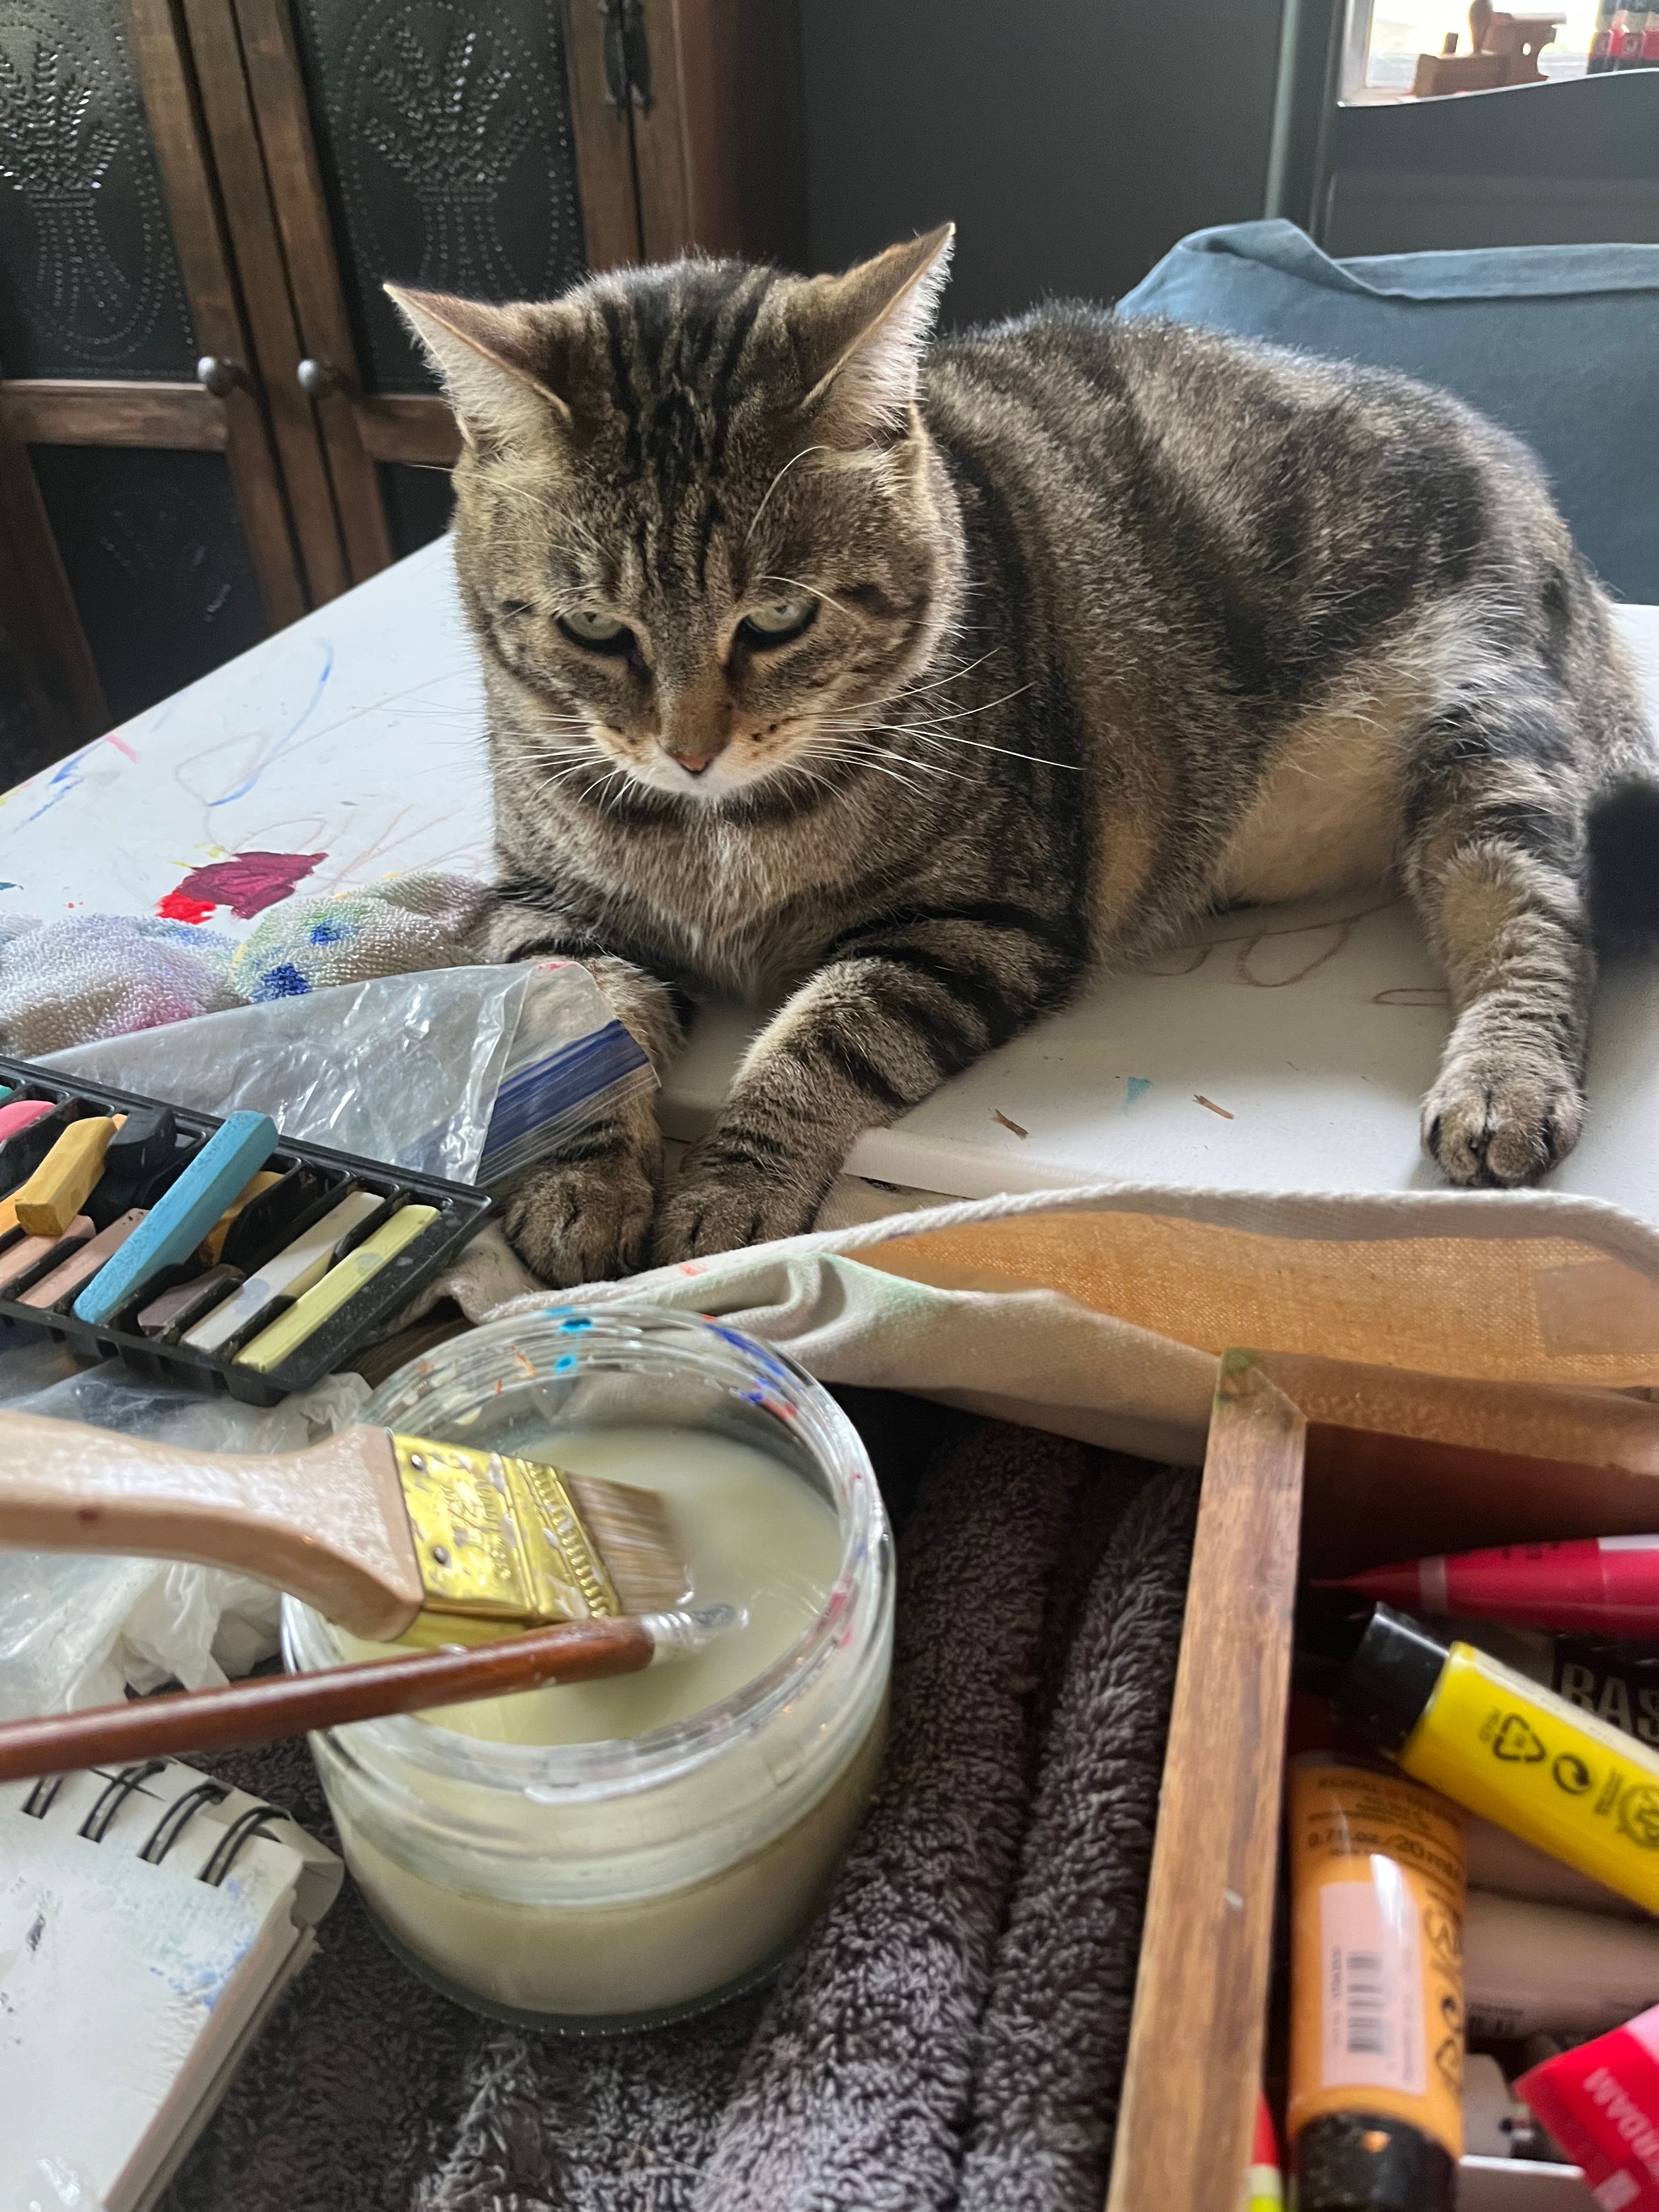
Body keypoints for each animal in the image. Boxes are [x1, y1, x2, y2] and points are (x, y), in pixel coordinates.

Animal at [389, 226, 1655, 1288]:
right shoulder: (547, 906)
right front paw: (582, 1187)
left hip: (1485, 747)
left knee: (1543, 930)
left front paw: (730, 1185)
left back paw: (1502, 1085)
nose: (688, 750)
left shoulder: (974, 928)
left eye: (778, 621)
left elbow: (818, 1042)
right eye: (593, 631)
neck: (716, 831)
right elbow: (571, 1036)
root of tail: (1521, 473)